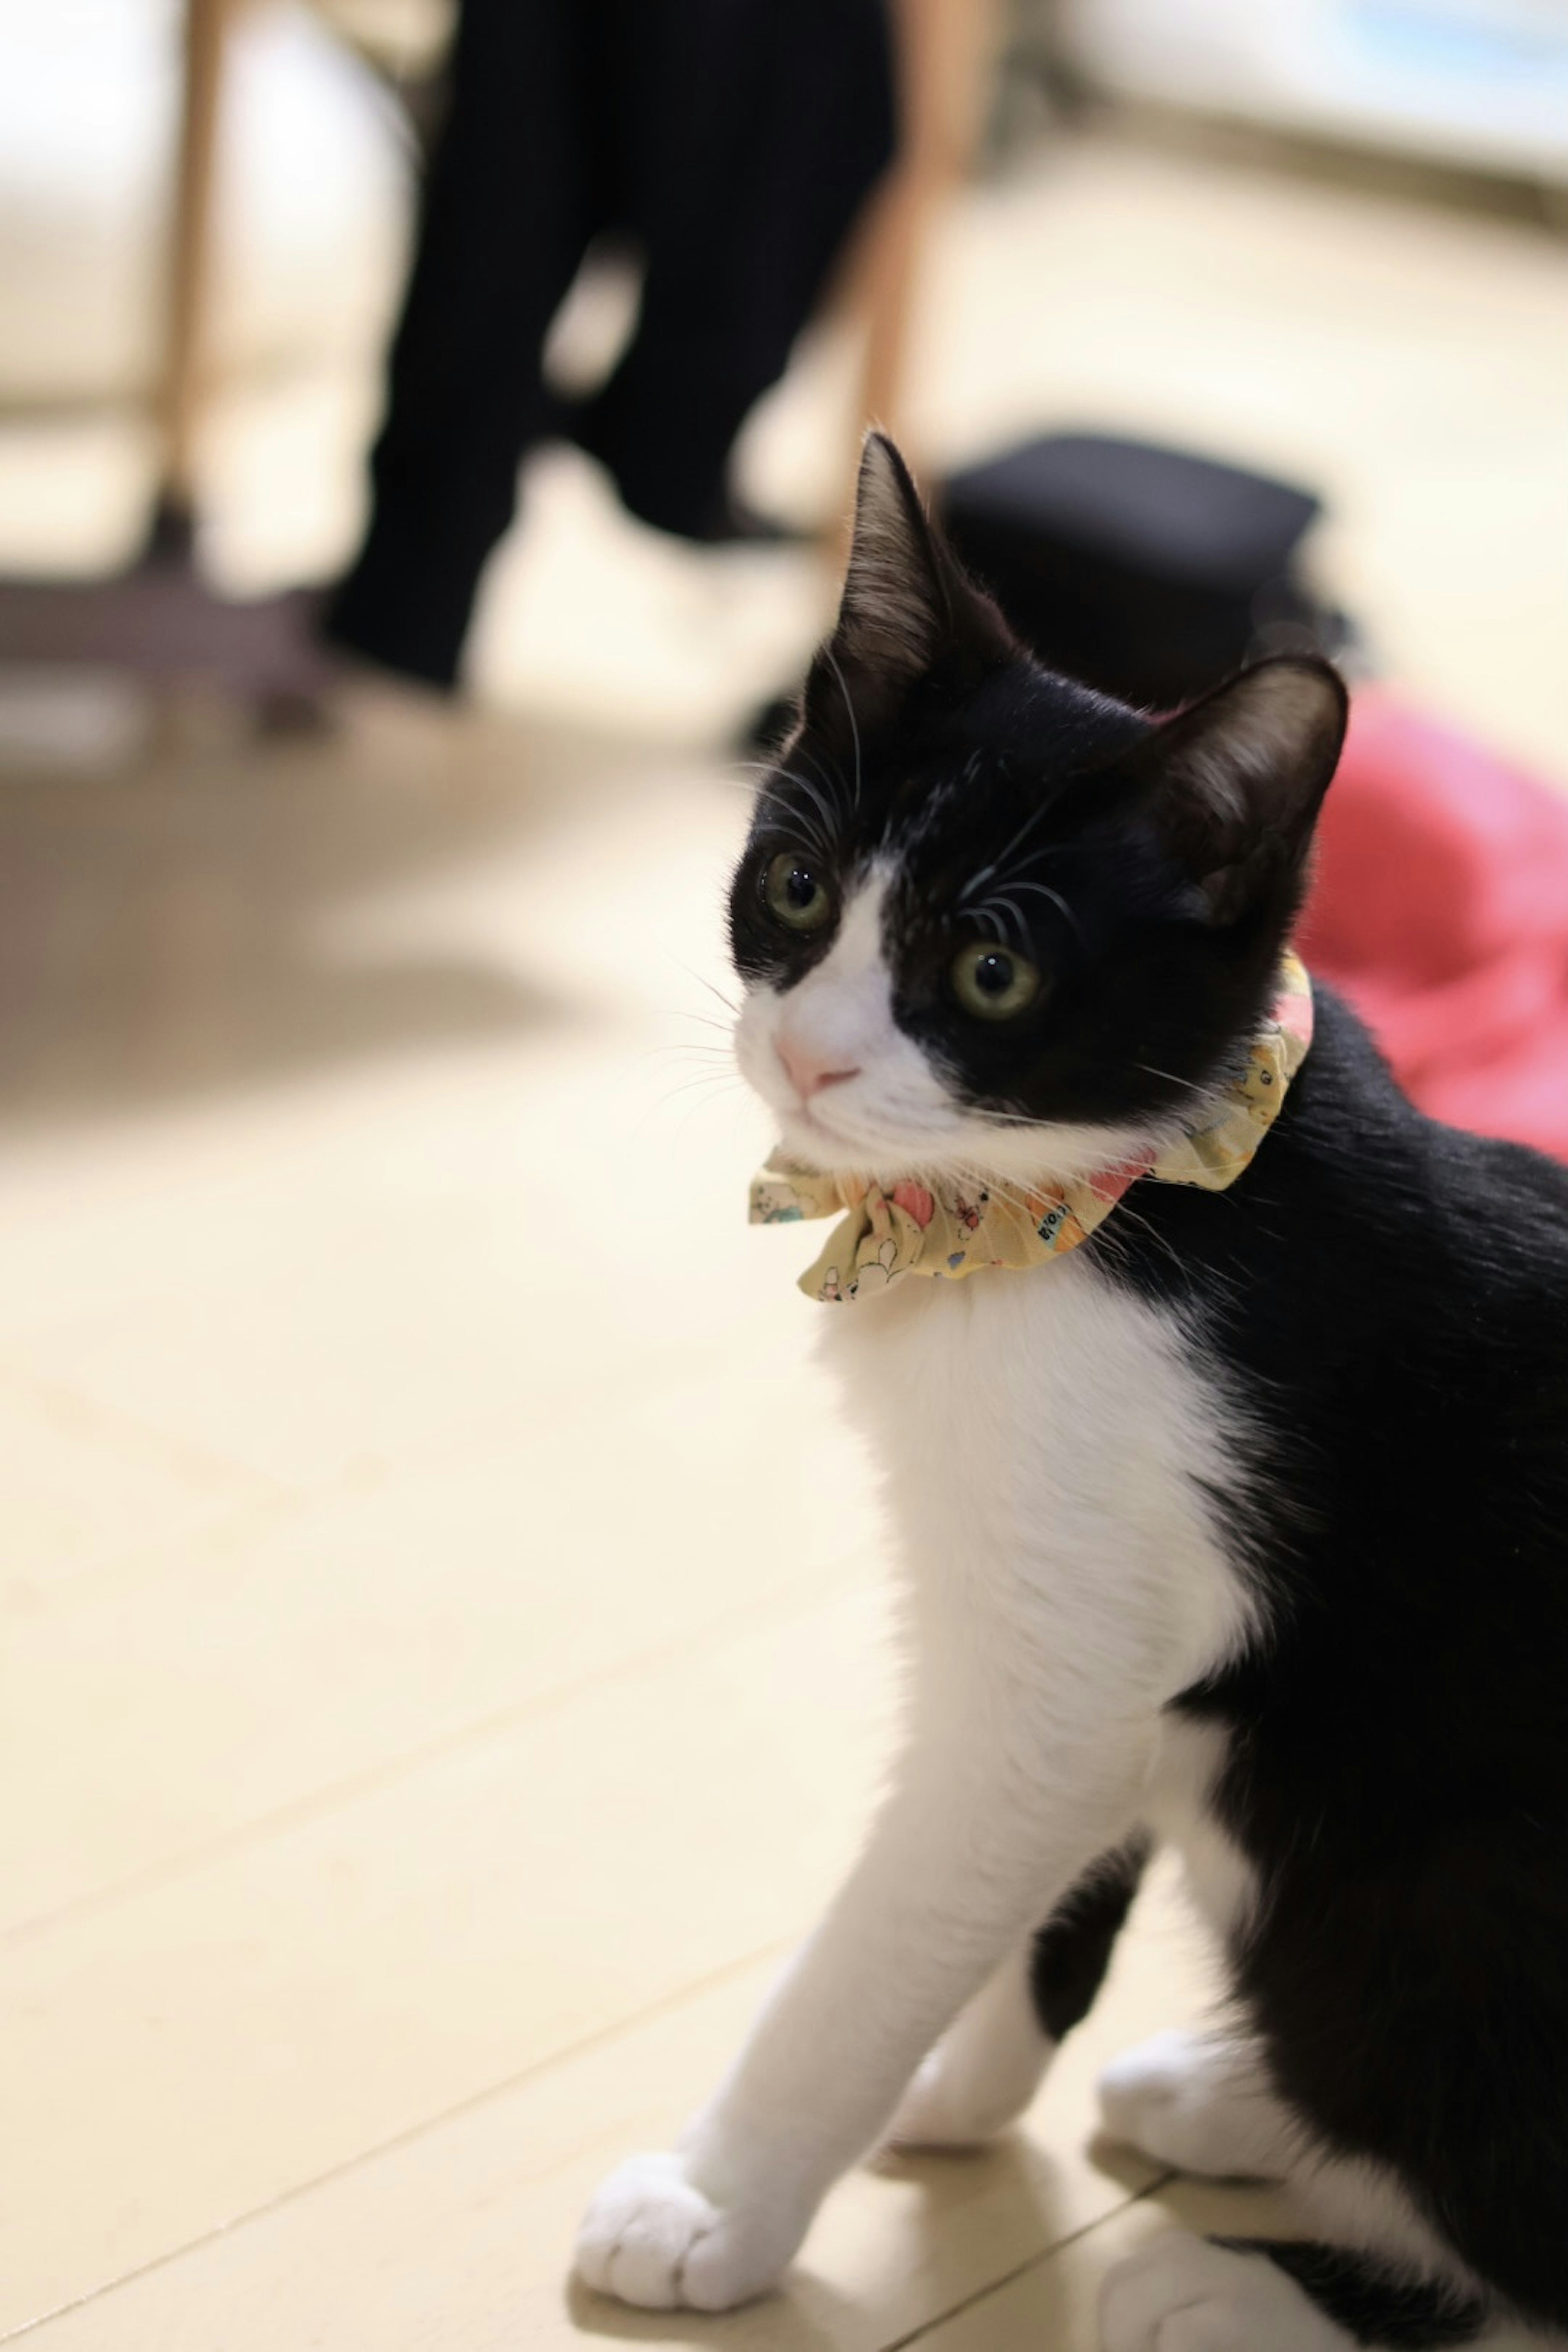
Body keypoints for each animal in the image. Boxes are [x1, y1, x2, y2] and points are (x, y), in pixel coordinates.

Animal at [573, 432, 1568, 2342]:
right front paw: (957, 2092)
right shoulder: (1104, 1660)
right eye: (796, 888)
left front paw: (717, 2201)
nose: (809, 1050)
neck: (1086, 1214)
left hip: (1447, 1900)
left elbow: (891, 1918)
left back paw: (1213, 2283)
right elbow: (1038, 1886)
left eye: (991, 970)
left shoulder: (1067, 1643)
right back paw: (1233, 2107)